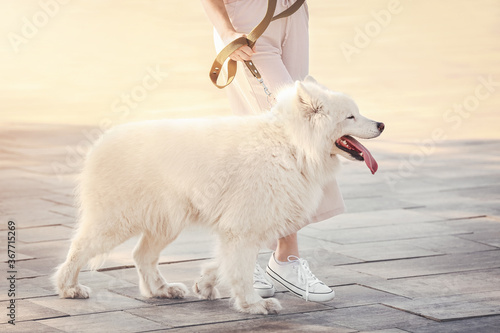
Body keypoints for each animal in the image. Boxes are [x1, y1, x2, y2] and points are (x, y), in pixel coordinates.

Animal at [53, 77, 382, 314]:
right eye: (350, 117)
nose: (381, 124)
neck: (291, 143)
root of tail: (101, 143)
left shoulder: (243, 225)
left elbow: (225, 263)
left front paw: (207, 283)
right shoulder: (244, 226)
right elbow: (240, 269)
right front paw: (253, 305)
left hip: (166, 222)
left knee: (141, 256)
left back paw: (162, 290)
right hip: (117, 221)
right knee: (79, 248)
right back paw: (68, 288)